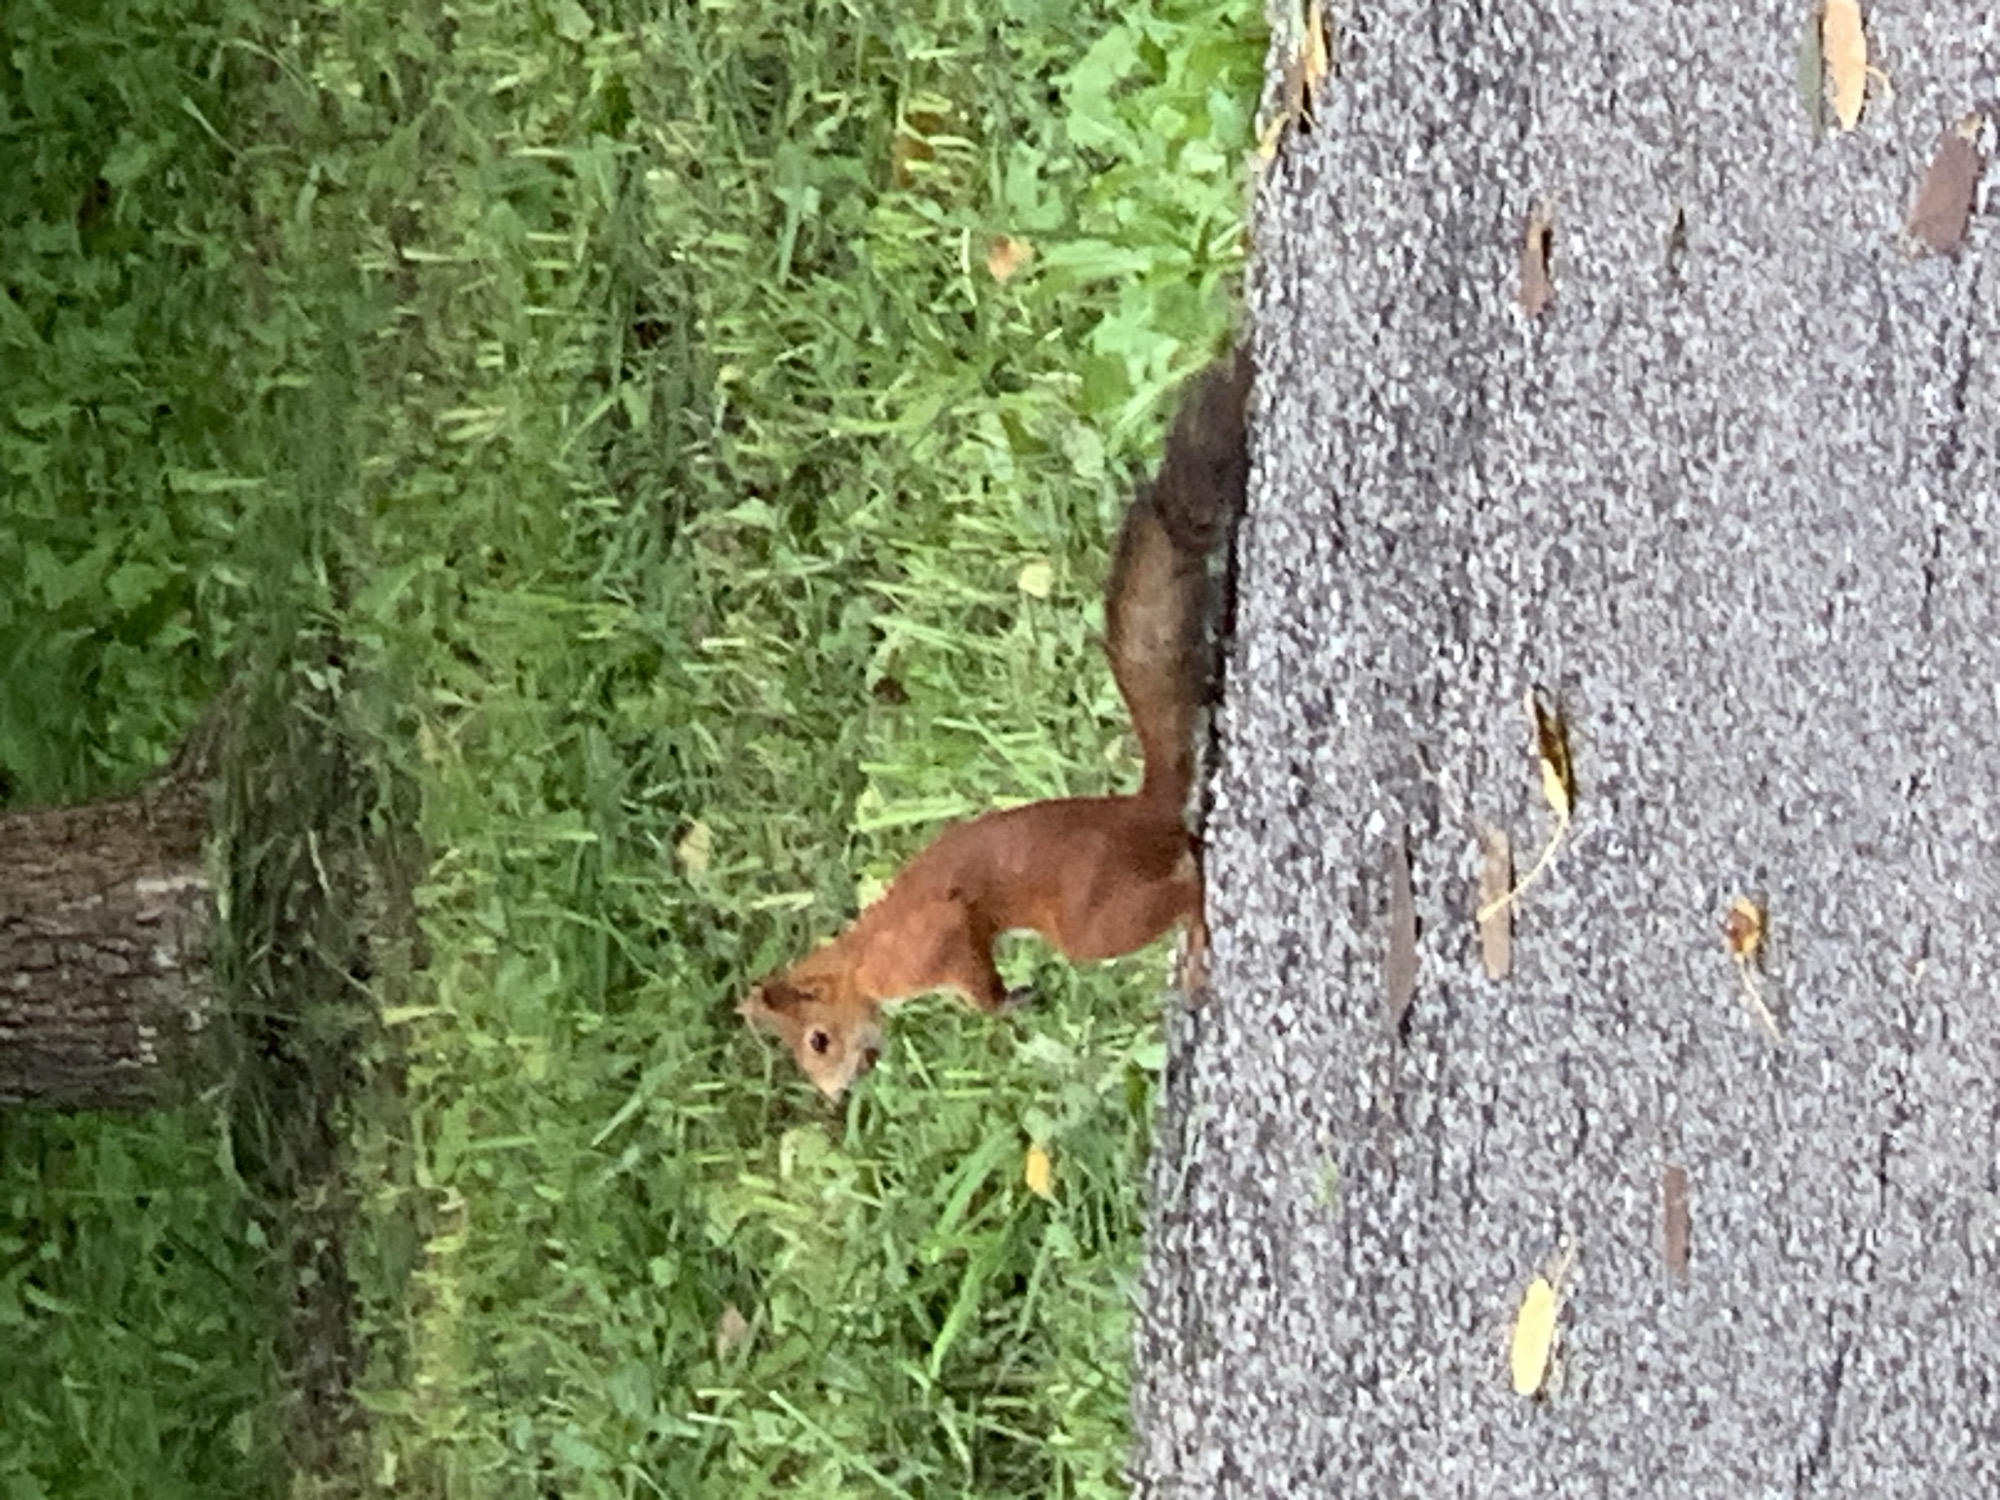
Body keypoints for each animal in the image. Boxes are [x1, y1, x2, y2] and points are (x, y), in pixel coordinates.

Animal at [739, 347, 1252, 1097]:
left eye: (818, 1040)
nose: (836, 1095)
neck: (861, 961)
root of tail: (1145, 812)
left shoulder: (937, 939)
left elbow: (972, 972)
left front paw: (1006, 1002)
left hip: (1096, 919)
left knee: (1188, 887)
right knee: (1192, 856)